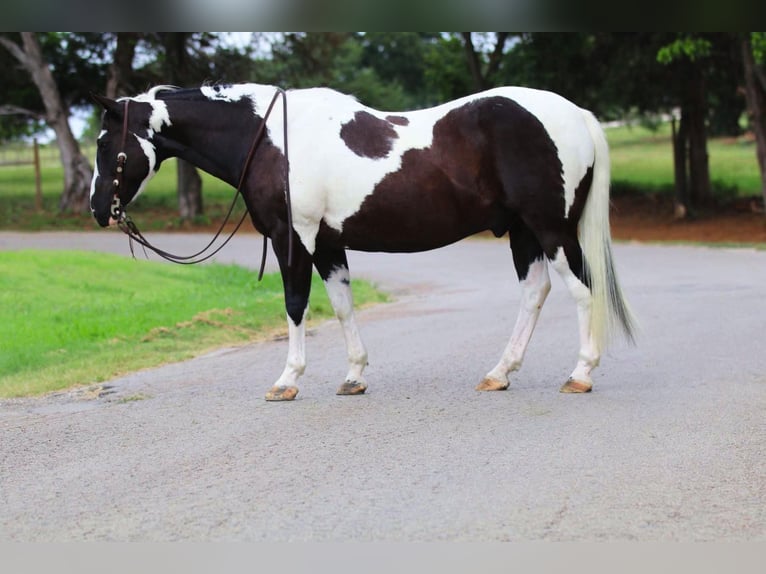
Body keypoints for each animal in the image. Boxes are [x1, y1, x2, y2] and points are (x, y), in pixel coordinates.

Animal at [90, 83, 636, 402]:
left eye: (105, 143)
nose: (98, 209)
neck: (270, 138)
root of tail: (576, 114)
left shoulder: (294, 238)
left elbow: (295, 305)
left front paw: (288, 380)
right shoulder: (329, 245)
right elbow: (342, 306)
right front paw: (353, 376)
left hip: (550, 230)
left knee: (582, 291)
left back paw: (580, 374)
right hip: (524, 232)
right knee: (535, 292)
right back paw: (500, 372)